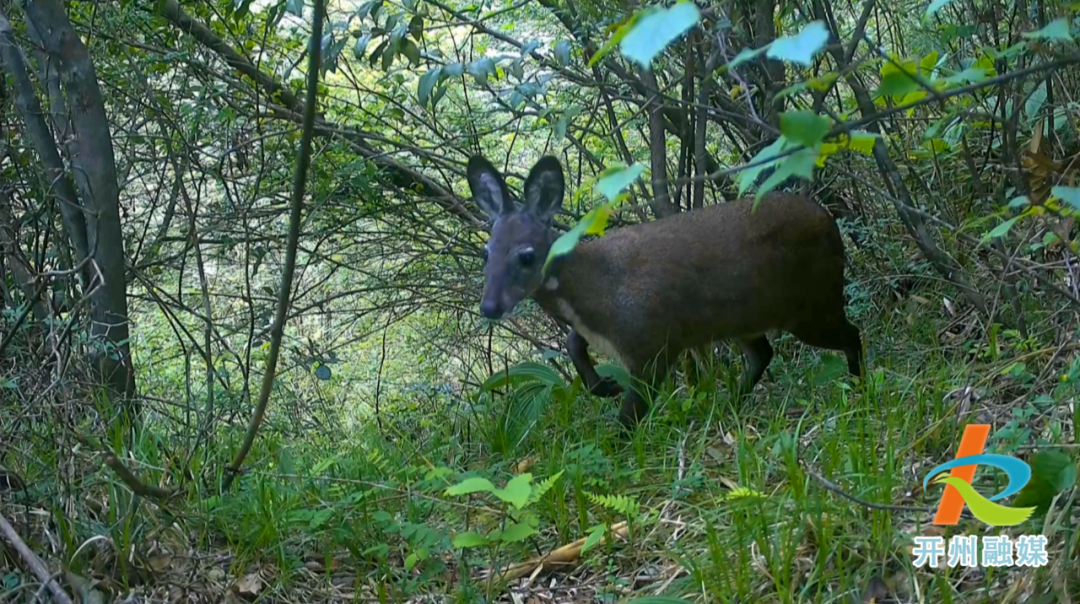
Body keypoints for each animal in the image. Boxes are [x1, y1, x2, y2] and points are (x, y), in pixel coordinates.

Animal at [464, 153, 859, 427]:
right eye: (486, 252)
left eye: (526, 255)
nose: (489, 306)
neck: (595, 291)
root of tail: (829, 221)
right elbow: (573, 343)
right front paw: (605, 385)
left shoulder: (653, 343)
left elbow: (629, 417)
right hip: (744, 316)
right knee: (764, 353)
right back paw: (729, 403)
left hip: (811, 303)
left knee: (852, 333)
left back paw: (859, 389)